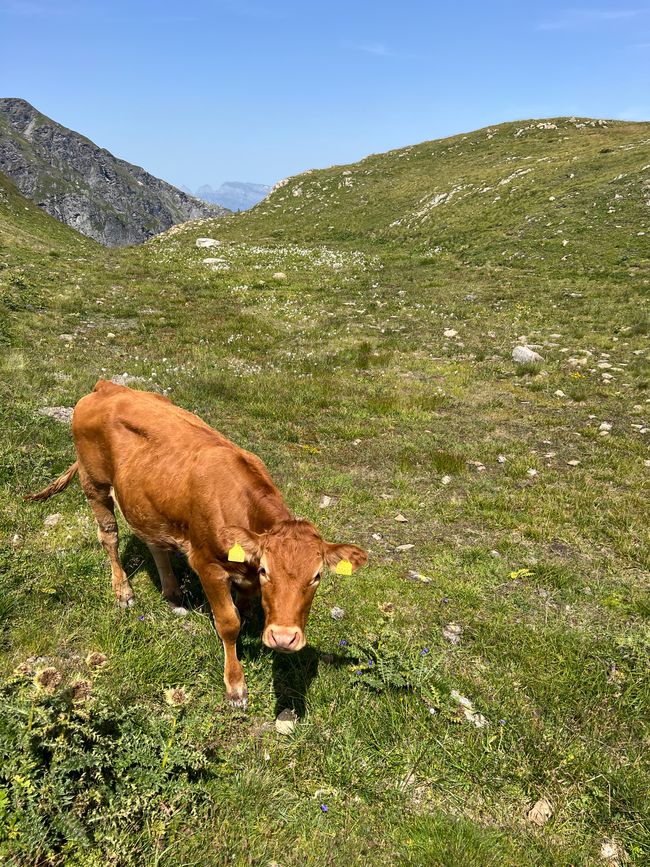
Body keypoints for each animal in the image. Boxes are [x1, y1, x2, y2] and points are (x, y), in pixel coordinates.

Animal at [29, 380, 368, 706]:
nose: (284, 638)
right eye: (266, 571)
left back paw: (172, 592)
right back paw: (123, 591)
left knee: (154, 542)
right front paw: (235, 686)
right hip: (94, 482)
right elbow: (228, 622)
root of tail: (107, 387)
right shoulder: (208, 565)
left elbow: (245, 608)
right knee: (109, 535)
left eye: (317, 576)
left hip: (146, 499)